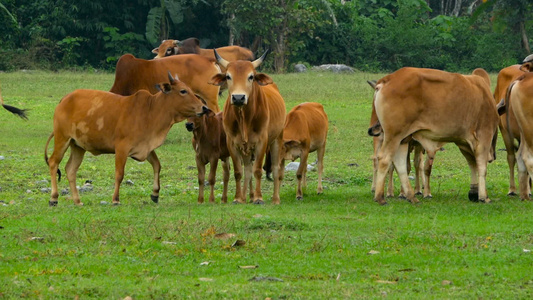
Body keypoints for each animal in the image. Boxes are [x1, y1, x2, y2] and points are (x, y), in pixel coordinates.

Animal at [44, 72, 208, 206]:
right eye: (183, 91)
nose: (204, 108)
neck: (150, 111)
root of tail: (64, 99)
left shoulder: (146, 147)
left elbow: (157, 165)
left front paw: (155, 194)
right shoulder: (121, 148)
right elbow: (119, 174)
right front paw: (115, 199)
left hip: (78, 146)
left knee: (70, 169)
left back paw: (77, 201)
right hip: (62, 139)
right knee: (53, 163)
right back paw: (53, 198)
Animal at [207, 50, 284, 205]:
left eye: (251, 77)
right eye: (228, 76)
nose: (238, 97)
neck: (244, 119)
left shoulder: (262, 142)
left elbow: (258, 170)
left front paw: (259, 198)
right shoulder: (232, 143)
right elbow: (238, 172)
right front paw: (238, 198)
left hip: (277, 140)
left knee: (275, 168)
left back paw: (275, 198)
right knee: (247, 170)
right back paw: (246, 196)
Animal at [370, 67, 498, 205]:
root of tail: (388, 79)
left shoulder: (463, 142)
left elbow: (472, 164)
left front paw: (474, 192)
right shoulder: (484, 135)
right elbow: (482, 166)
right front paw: (483, 196)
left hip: (403, 138)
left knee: (400, 164)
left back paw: (411, 196)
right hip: (393, 135)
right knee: (384, 159)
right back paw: (380, 197)